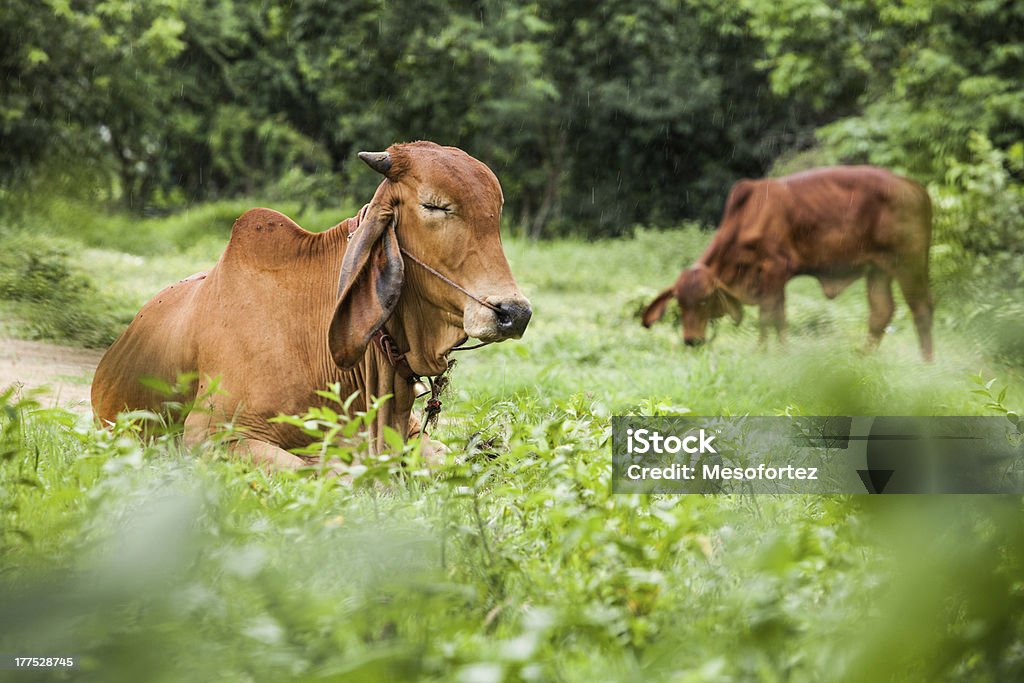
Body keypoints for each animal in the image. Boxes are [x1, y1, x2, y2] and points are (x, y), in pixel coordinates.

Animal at [643, 165, 933, 360]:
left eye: (704, 300)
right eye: (680, 303)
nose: (692, 341)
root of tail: (915, 187)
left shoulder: (775, 269)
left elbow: (770, 317)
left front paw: (767, 352)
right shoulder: (771, 279)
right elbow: (776, 316)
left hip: (910, 261)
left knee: (921, 308)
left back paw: (927, 363)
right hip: (878, 268)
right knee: (882, 311)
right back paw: (863, 357)